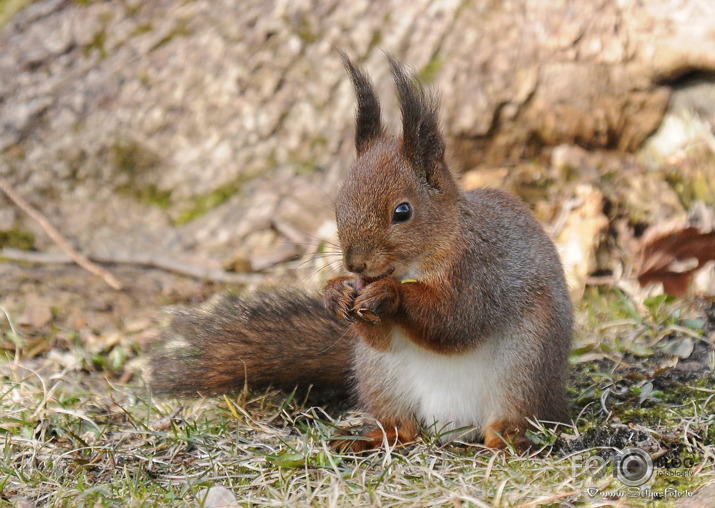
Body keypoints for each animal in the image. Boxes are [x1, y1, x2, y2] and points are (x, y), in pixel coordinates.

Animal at [148, 54, 572, 452]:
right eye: (339, 203)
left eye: (402, 212)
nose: (355, 264)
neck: (417, 262)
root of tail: (454, 426)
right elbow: (380, 333)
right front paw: (336, 291)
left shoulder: (482, 272)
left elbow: (454, 319)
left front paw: (390, 294)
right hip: (381, 376)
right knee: (403, 428)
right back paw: (370, 439)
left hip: (524, 367)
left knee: (508, 419)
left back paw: (508, 441)